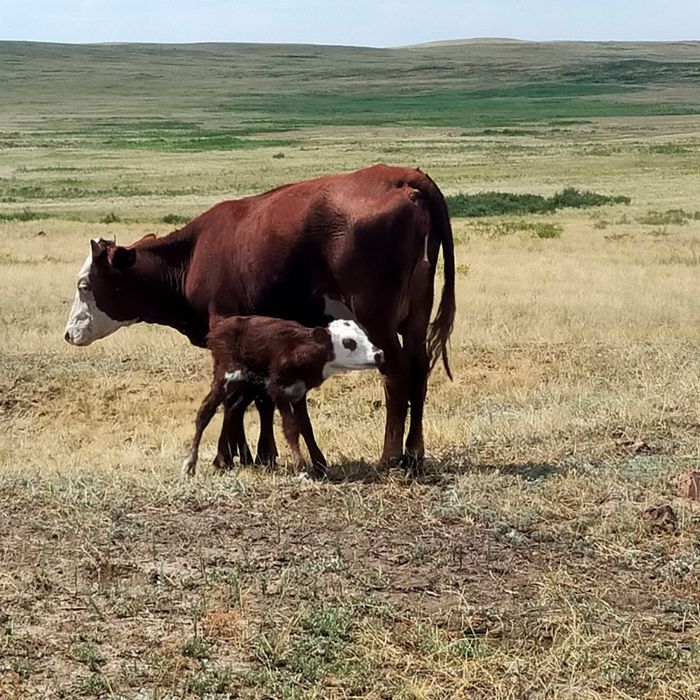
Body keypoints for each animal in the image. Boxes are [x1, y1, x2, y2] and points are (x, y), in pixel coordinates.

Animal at [183, 316, 384, 478]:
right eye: (349, 342)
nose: (379, 354)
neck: (299, 349)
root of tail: (218, 330)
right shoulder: (278, 391)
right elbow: (291, 428)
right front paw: (301, 468)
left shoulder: (298, 393)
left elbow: (306, 427)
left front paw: (320, 465)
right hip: (227, 375)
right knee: (205, 411)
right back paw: (190, 464)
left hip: (245, 385)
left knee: (232, 410)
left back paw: (226, 461)